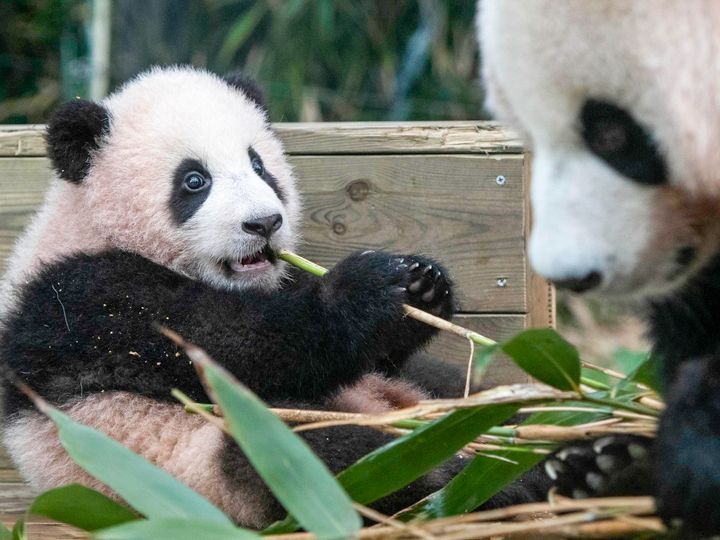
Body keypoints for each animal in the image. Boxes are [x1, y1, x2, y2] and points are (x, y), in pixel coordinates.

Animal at [0, 66, 555, 527]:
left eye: (258, 165)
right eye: (194, 180)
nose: (264, 223)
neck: (92, 223)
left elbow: (362, 347)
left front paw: (422, 284)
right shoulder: (89, 296)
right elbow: (237, 349)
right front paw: (364, 289)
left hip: (412, 389)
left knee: (470, 394)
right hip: (211, 461)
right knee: (335, 458)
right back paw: (479, 475)